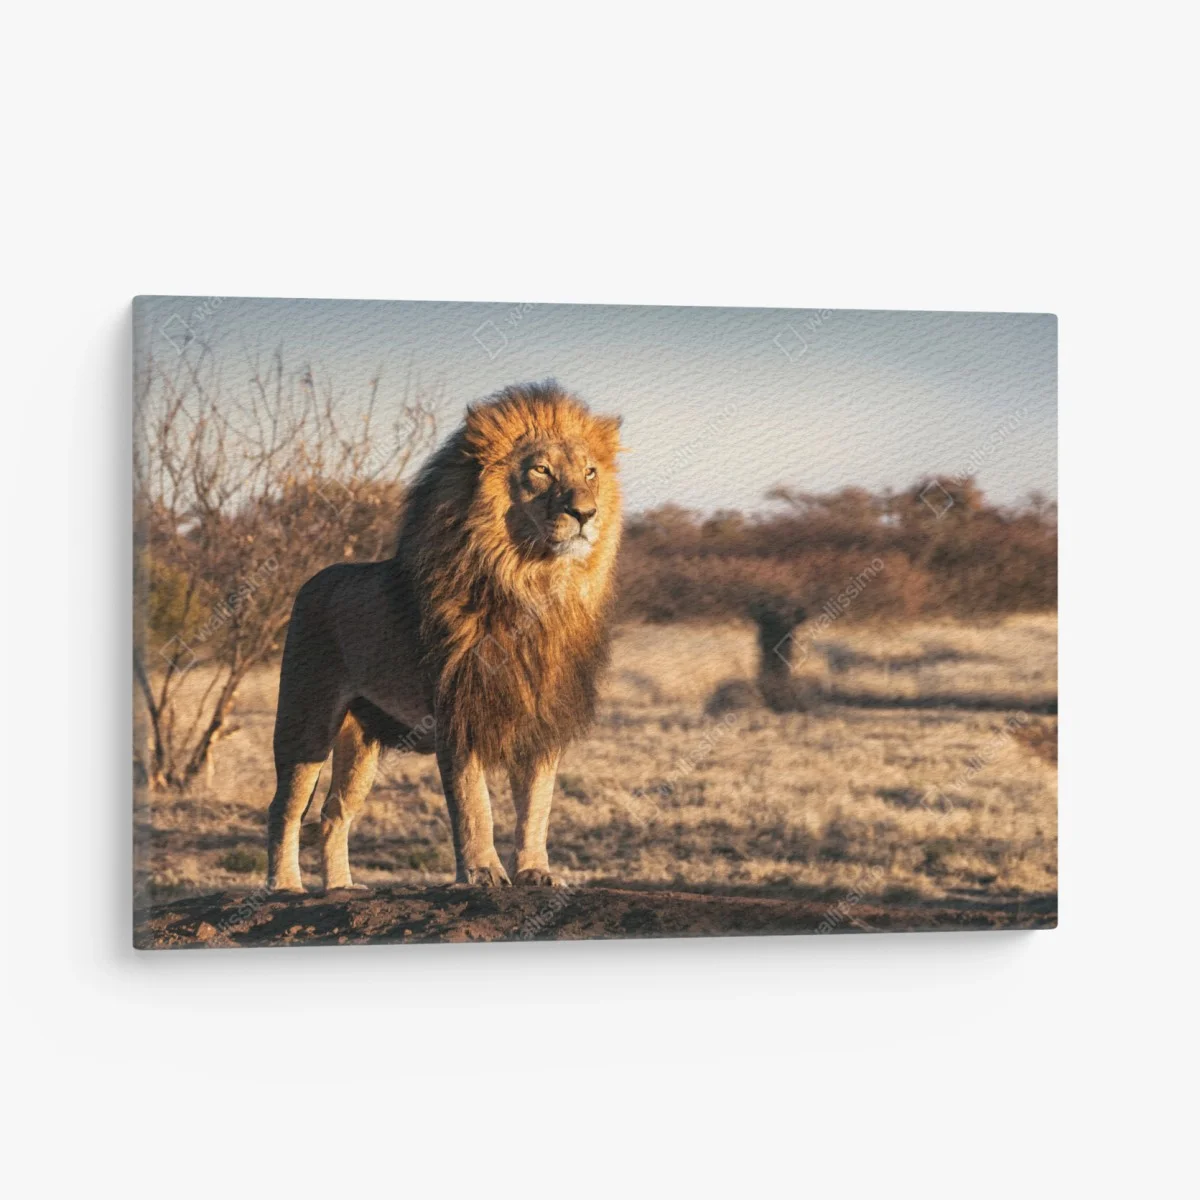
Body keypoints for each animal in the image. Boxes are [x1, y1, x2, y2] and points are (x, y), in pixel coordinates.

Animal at [267, 381, 623, 892]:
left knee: (334, 815)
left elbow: (537, 804)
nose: (585, 512)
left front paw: (535, 871)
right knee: (285, 808)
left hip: (362, 739)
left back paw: (341, 889)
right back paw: (285, 886)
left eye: (590, 472)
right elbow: (474, 804)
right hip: (305, 720)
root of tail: (313, 579)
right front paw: (482, 872)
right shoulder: (459, 711)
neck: (532, 583)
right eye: (541, 470)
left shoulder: (542, 715)